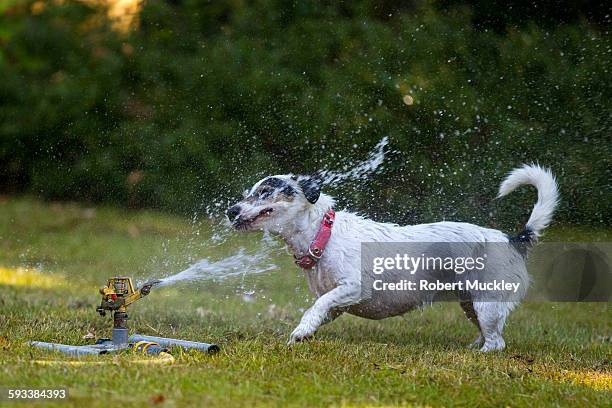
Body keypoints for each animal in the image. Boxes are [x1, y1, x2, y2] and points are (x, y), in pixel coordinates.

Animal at [226, 164, 560, 352]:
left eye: (265, 191)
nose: (230, 210)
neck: (324, 234)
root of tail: (512, 240)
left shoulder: (353, 288)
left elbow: (317, 306)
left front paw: (301, 330)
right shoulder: (337, 301)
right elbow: (321, 309)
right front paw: (305, 332)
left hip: (487, 303)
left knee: (497, 343)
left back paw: (479, 355)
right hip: (471, 303)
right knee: (487, 332)